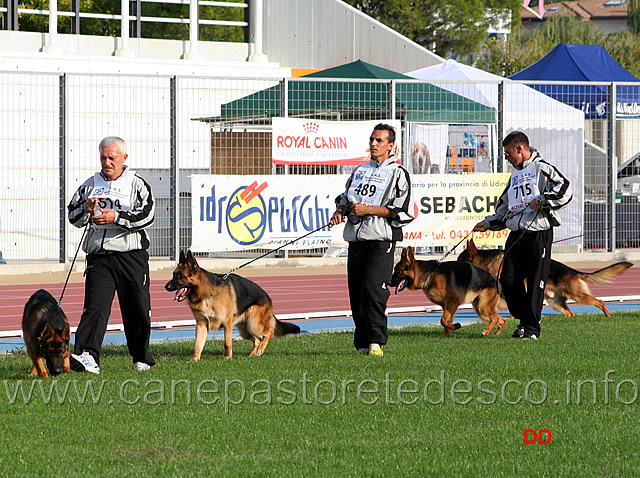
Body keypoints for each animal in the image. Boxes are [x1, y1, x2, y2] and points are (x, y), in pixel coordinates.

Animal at [165, 252, 300, 360]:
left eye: (180, 276)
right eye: (173, 274)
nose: (166, 286)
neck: (206, 294)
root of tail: (268, 298)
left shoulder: (226, 323)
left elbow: (227, 343)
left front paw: (227, 358)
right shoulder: (201, 325)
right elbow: (198, 345)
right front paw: (195, 360)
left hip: (254, 324)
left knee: (268, 333)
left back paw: (261, 350)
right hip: (245, 330)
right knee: (257, 339)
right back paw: (252, 355)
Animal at [458, 238, 632, 318]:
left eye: (459, 260)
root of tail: (572, 271)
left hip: (577, 295)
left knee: (600, 301)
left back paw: (608, 316)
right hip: (555, 302)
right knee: (569, 313)